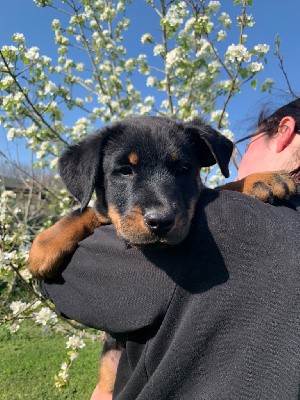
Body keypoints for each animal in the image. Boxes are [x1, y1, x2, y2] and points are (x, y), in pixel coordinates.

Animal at [28, 114, 296, 396]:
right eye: (125, 170)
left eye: (183, 170)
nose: (160, 221)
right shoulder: (104, 214)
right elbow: (87, 211)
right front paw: (44, 245)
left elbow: (217, 188)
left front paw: (259, 180)